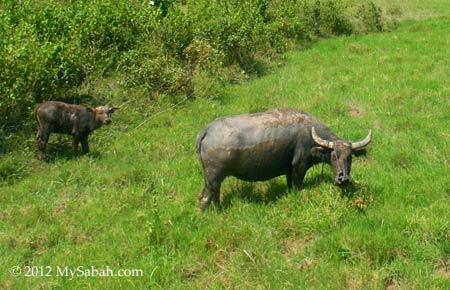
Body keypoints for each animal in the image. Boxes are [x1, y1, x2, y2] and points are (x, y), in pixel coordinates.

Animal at [195, 108, 370, 211]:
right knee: (205, 198)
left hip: (211, 180)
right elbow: (296, 185)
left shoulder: (289, 169)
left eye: (350, 157)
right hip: (213, 177)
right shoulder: (299, 166)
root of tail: (207, 130)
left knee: (211, 195)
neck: (309, 134)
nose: (343, 179)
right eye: (334, 156)